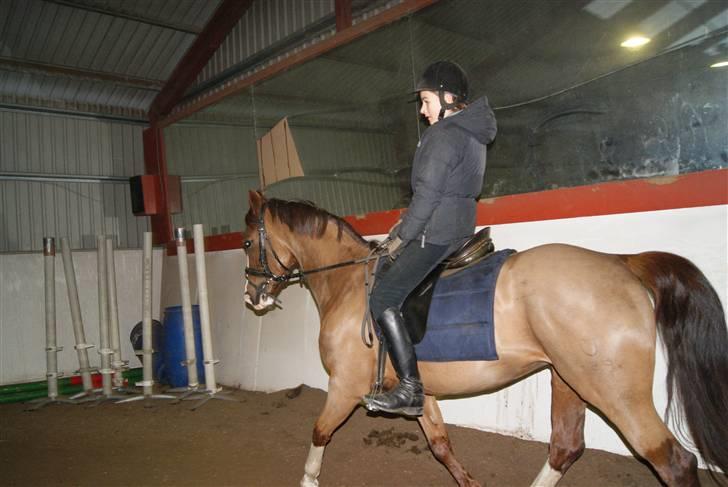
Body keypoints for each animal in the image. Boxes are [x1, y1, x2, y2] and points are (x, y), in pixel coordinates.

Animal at [241, 190, 728, 487]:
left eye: (247, 242)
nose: (252, 296)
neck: (347, 285)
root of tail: (620, 262)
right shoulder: (420, 393)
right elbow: (441, 445)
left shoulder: (344, 386)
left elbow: (320, 431)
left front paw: (307, 479)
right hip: (569, 381)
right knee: (565, 448)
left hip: (614, 392)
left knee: (673, 461)